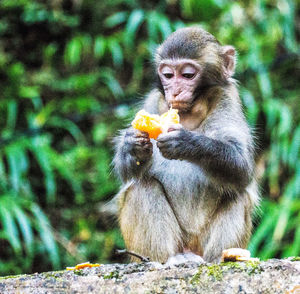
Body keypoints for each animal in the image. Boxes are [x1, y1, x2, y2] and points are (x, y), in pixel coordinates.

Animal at [112, 27, 258, 264]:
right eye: (168, 75)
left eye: (188, 75)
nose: (174, 91)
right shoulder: (154, 101)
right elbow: (127, 172)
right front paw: (132, 144)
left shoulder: (227, 100)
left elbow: (241, 165)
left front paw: (186, 142)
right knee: (142, 187)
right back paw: (165, 260)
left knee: (237, 193)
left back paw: (221, 259)